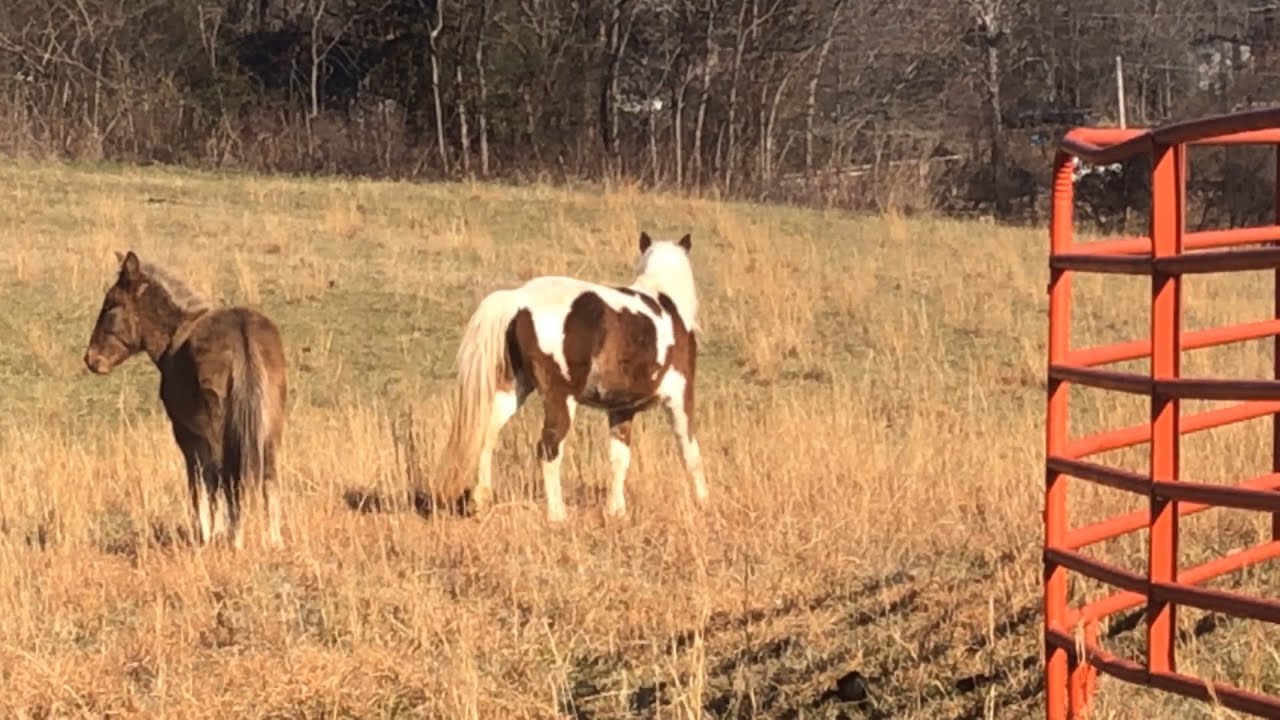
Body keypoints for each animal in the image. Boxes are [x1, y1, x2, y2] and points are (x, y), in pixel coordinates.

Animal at [83, 251, 288, 549]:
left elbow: (200, 482)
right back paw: (272, 540)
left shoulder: (187, 435)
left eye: (111, 304)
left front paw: (207, 533)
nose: (91, 359)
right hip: (270, 429)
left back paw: (234, 540)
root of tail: (242, 332)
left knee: (227, 476)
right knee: (268, 478)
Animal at [438, 231, 709, 522]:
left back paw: (480, 501)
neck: (667, 304)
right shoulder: (679, 398)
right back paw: (557, 514)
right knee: (548, 449)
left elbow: (619, 459)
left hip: (511, 390)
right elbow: (689, 452)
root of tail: (519, 299)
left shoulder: (621, 409)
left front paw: (616, 510)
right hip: (561, 399)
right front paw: (704, 502)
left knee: (487, 436)